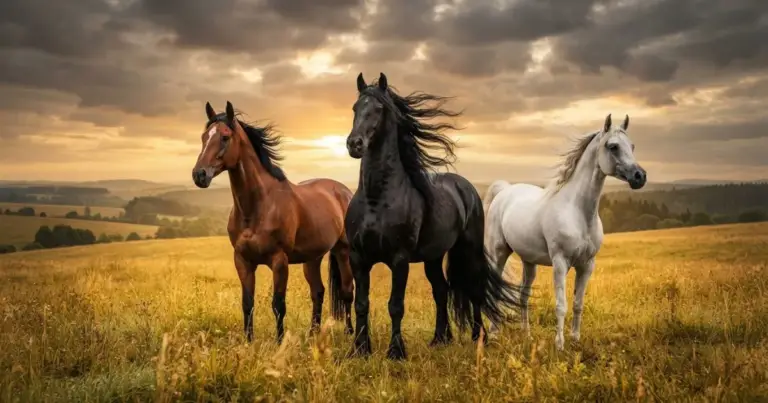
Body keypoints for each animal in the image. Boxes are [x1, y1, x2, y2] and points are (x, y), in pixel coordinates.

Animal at [191, 101, 355, 343]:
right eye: (204, 136)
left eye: (225, 137)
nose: (199, 175)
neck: (257, 207)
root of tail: (344, 191)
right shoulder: (242, 261)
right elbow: (247, 304)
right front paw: (249, 342)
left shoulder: (279, 261)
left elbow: (278, 305)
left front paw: (279, 343)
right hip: (312, 258)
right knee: (318, 292)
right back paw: (312, 334)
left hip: (343, 251)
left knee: (347, 291)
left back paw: (351, 333)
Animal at [344, 72, 523, 360]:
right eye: (355, 108)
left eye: (379, 109)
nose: (354, 144)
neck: (376, 200)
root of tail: (466, 188)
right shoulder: (358, 257)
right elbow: (361, 304)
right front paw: (359, 350)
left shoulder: (399, 259)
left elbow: (396, 305)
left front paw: (396, 352)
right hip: (433, 257)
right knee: (441, 290)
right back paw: (440, 339)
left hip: (468, 249)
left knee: (474, 290)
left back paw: (478, 338)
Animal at [483, 114, 647, 350]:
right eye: (613, 146)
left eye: (632, 146)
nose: (639, 176)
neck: (577, 212)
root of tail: (504, 191)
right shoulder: (560, 263)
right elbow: (561, 305)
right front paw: (559, 345)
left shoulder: (587, 265)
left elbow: (578, 303)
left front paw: (575, 339)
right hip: (499, 253)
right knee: (495, 291)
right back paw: (494, 334)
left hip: (528, 261)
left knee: (524, 295)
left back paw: (527, 335)